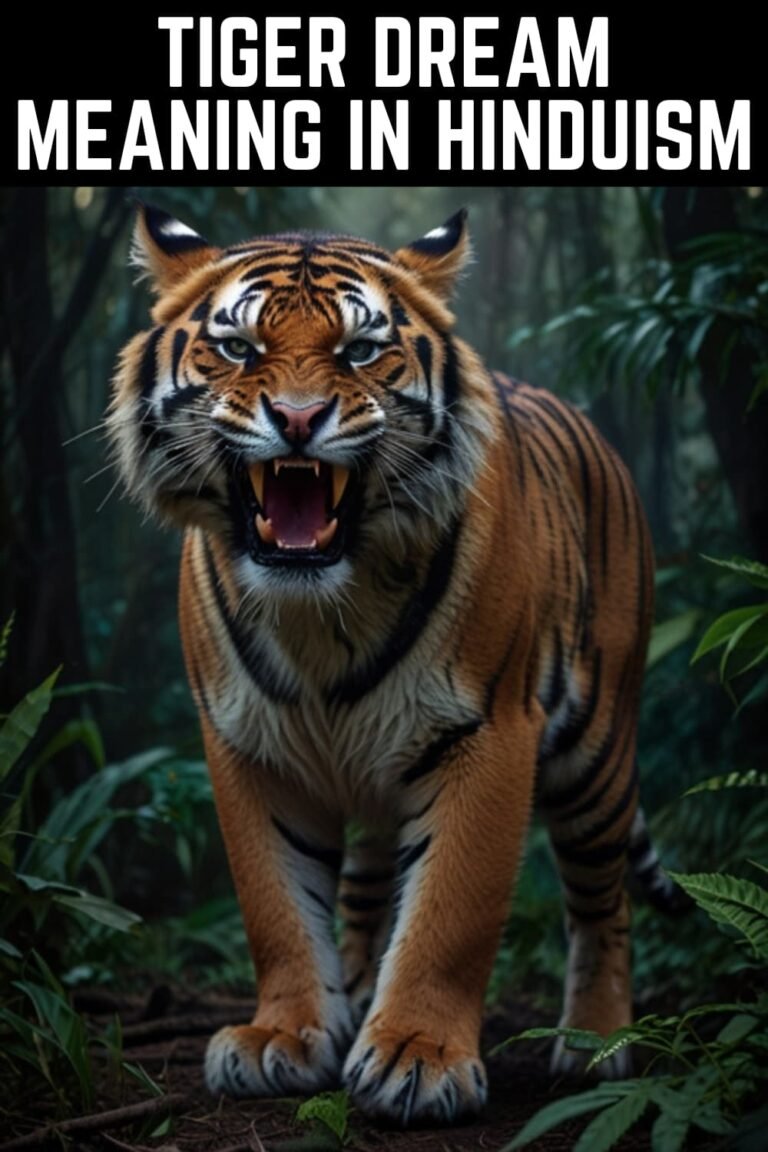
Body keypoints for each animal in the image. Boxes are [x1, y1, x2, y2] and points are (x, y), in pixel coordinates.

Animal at [108, 202, 676, 1126]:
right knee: (366, 894)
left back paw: (595, 1045)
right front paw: (285, 1036)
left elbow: (451, 910)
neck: (318, 610)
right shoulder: (249, 747)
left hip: (596, 755)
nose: (298, 419)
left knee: (603, 901)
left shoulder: (488, 732)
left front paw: (417, 1057)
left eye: (360, 350)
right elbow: (277, 906)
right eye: (238, 348)